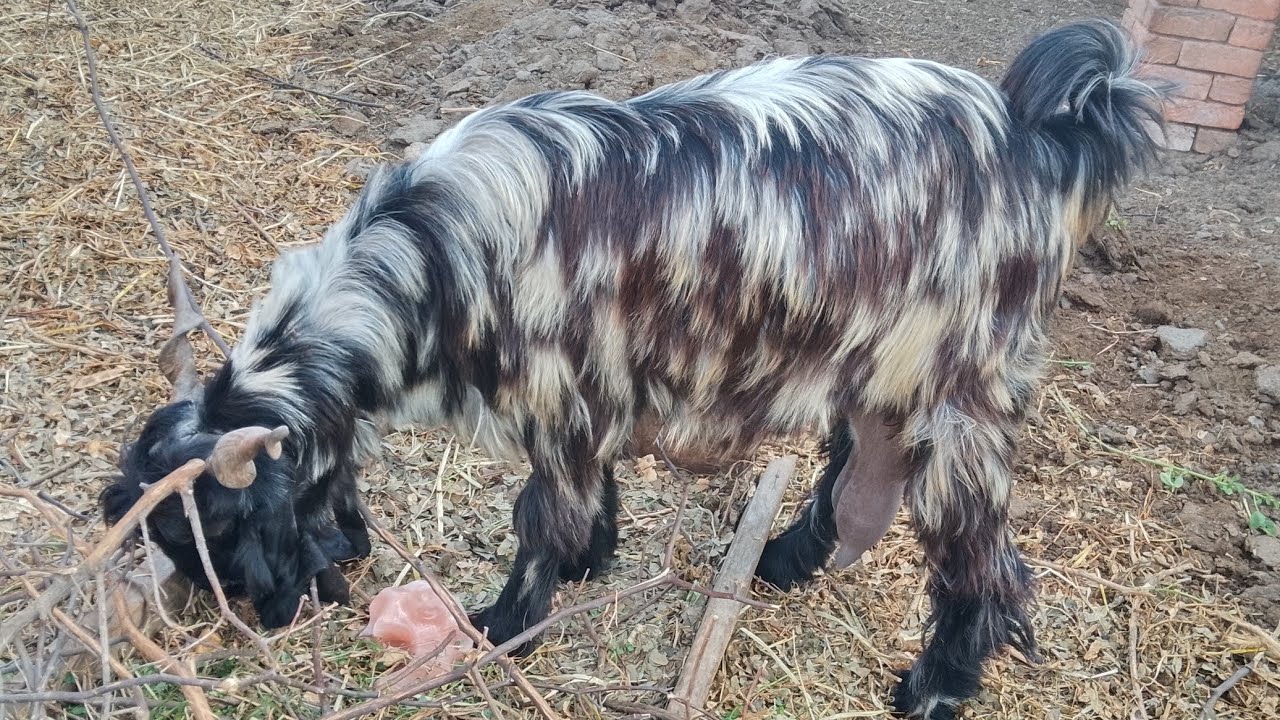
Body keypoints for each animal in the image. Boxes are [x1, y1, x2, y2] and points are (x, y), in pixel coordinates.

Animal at [102, 18, 1165, 717]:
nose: (258, 618)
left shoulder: (560, 396)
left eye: (215, 529)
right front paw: (593, 559)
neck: (433, 255)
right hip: (877, 369)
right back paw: (783, 562)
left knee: (985, 560)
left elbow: (541, 517)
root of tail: (1043, 138)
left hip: (961, 392)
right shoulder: (592, 399)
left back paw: (939, 685)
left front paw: (506, 620)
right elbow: (588, 496)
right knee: (860, 479)